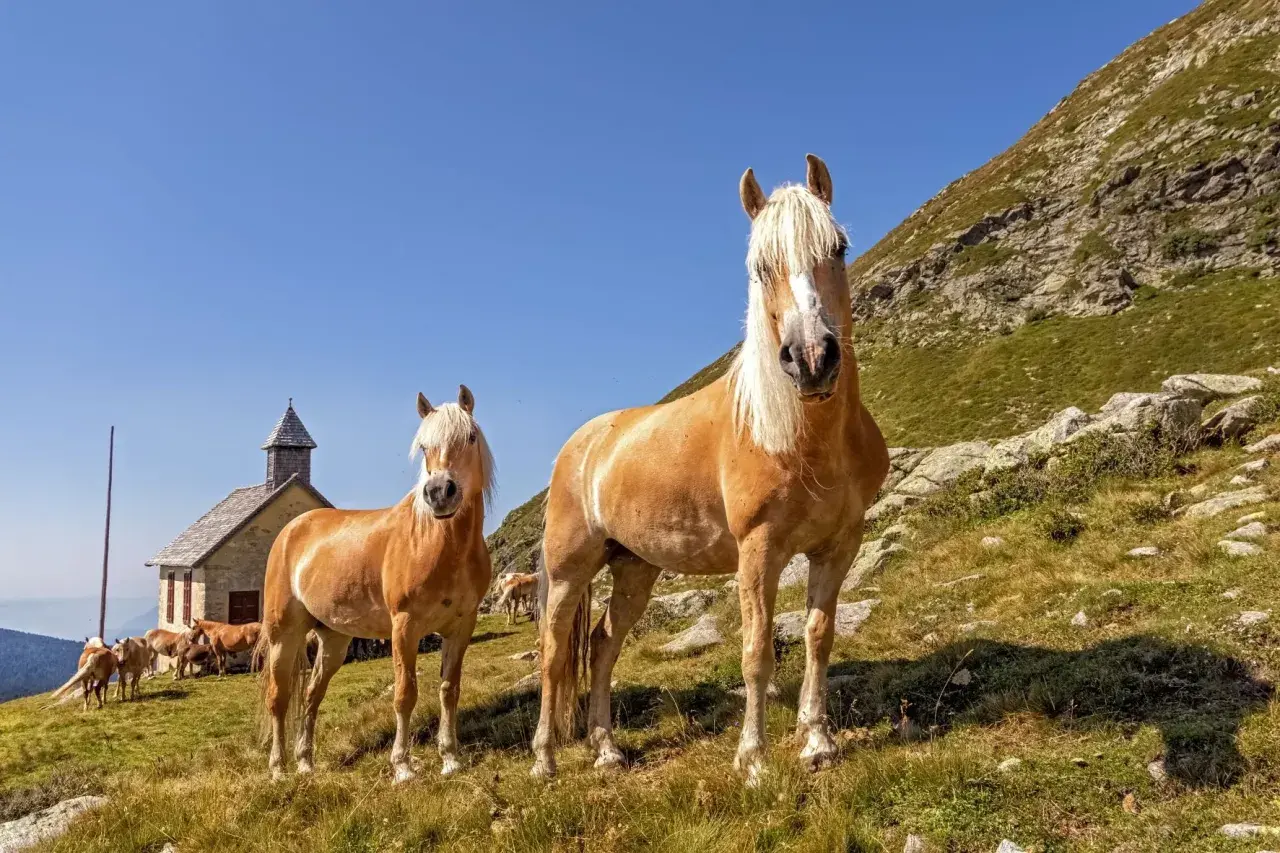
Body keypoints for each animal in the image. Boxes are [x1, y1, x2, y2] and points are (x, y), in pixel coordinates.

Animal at [257, 386, 495, 782]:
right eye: (424, 446)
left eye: (470, 437)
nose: (439, 493)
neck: (437, 545)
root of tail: (291, 529)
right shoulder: (404, 627)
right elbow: (405, 693)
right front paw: (403, 767)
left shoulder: (461, 627)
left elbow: (449, 689)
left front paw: (450, 759)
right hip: (283, 634)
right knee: (278, 698)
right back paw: (278, 770)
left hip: (333, 638)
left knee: (311, 695)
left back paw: (306, 763)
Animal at [532, 155, 889, 783]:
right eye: (759, 266)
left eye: (839, 247)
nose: (812, 359)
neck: (803, 443)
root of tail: (579, 446)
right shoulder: (759, 551)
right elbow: (757, 652)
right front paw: (753, 759)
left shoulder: (839, 545)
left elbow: (819, 637)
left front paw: (817, 742)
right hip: (571, 571)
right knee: (554, 658)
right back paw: (546, 760)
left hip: (635, 569)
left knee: (602, 647)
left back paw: (606, 750)